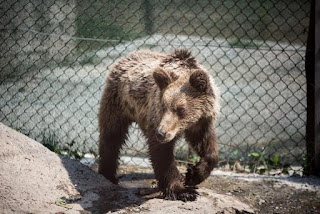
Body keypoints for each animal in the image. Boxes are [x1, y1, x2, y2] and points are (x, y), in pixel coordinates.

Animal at [99, 48, 220, 201]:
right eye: (163, 106)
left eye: (180, 109)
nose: (161, 133)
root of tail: (126, 57)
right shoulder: (156, 118)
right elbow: (163, 155)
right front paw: (183, 191)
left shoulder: (201, 123)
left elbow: (206, 144)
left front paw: (193, 174)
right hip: (118, 102)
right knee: (111, 136)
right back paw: (108, 175)